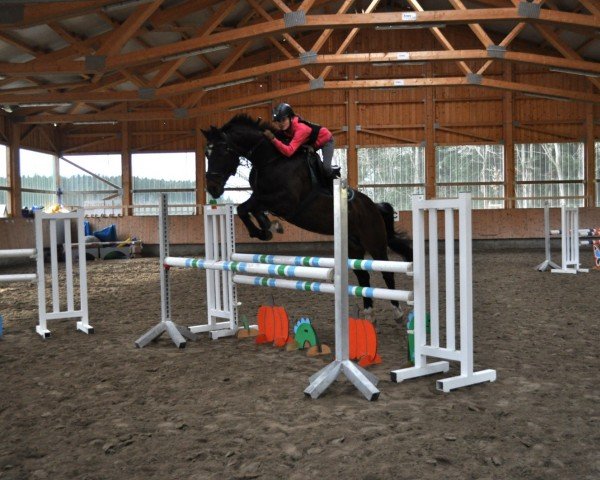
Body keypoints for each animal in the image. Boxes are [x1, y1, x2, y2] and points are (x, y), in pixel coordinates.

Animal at [202, 114, 412, 322]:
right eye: (206, 153)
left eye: (223, 150)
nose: (212, 188)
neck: (270, 159)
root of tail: (374, 207)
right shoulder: (263, 197)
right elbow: (246, 208)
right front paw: (269, 228)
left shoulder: (285, 201)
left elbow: (246, 208)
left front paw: (266, 230)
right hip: (353, 247)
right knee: (363, 276)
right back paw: (368, 313)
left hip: (374, 242)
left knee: (386, 272)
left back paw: (397, 311)